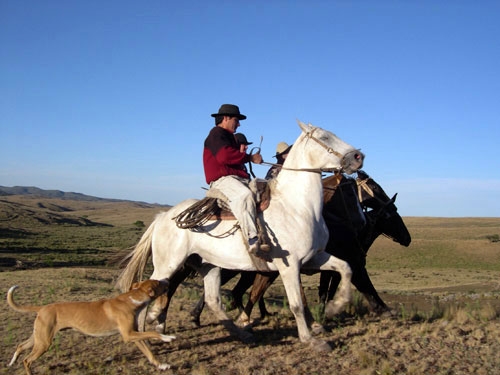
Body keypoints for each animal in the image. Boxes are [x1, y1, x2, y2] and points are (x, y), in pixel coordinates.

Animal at [6, 280, 176, 374]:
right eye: (158, 282)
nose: (168, 281)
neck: (132, 299)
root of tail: (42, 308)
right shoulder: (128, 335)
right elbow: (153, 333)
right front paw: (167, 337)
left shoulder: (134, 335)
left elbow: (149, 353)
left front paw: (162, 365)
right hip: (44, 342)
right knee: (27, 360)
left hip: (39, 337)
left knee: (20, 346)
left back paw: (12, 362)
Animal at [116, 121, 364, 352]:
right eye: (325, 137)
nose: (358, 157)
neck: (297, 206)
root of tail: (163, 216)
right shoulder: (289, 266)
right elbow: (296, 304)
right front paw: (310, 340)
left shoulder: (314, 258)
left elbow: (345, 268)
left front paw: (335, 306)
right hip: (168, 265)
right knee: (150, 291)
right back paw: (148, 334)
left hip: (208, 265)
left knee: (213, 301)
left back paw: (242, 334)